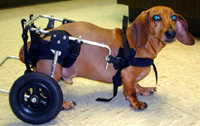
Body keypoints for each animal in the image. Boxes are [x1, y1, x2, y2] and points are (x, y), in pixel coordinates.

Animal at [19, 5, 195, 110]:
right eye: (156, 17)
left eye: (174, 17)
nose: (171, 33)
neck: (137, 43)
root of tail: (35, 39)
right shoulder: (127, 75)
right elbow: (130, 91)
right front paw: (136, 103)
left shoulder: (133, 77)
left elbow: (136, 84)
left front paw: (143, 89)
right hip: (52, 72)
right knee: (44, 92)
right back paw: (62, 103)